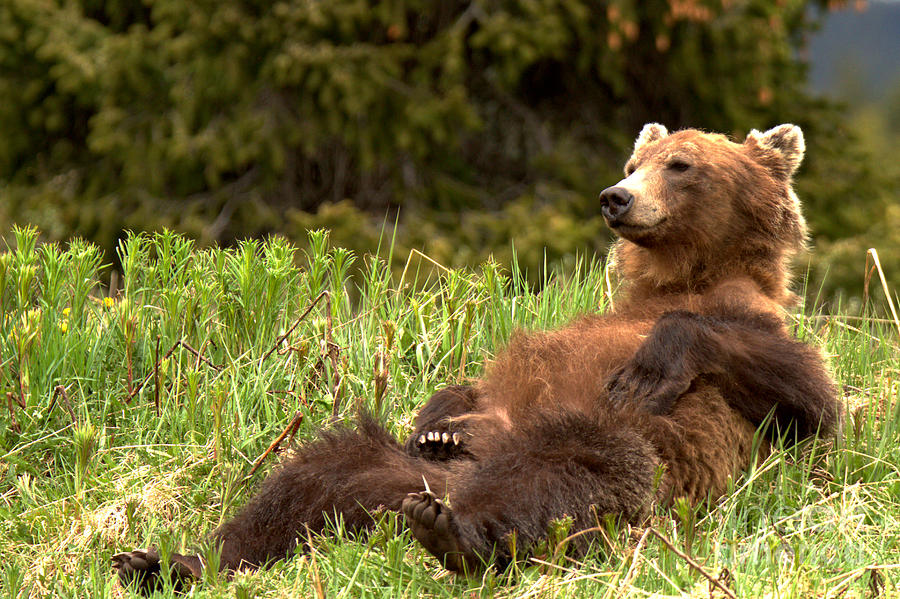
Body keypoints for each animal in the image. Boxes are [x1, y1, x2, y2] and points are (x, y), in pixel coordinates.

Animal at [112, 123, 840, 592]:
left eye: (681, 164)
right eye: (638, 162)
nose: (617, 195)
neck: (677, 274)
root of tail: (449, 489)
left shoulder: (754, 328)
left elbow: (812, 398)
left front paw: (648, 366)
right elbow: (466, 389)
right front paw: (438, 420)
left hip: (624, 461)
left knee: (570, 469)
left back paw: (456, 536)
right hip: (391, 474)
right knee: (312, 477)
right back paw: (171, 562)